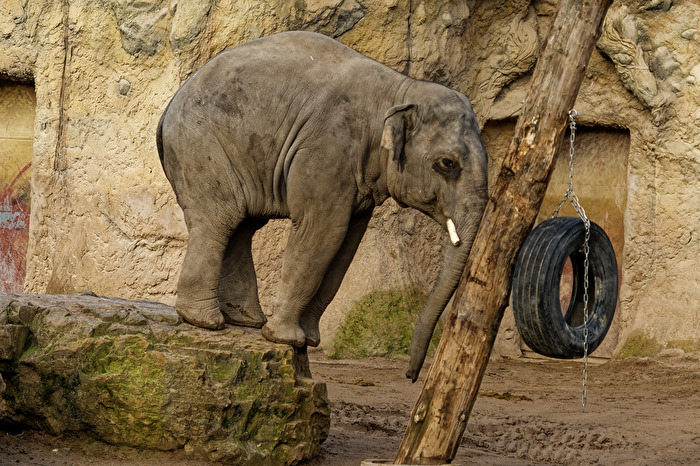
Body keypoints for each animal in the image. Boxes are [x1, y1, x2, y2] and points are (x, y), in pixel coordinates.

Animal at [157, 31, 488, 381]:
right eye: (447, 164)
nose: (411, 376)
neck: (400, 88)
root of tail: (167, 109)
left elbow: (346, 245)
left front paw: (309, 340)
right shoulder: (327, 149)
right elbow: (322, 231)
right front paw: (286, 338)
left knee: (243, 225)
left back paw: (246, 321)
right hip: (200, 146)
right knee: (221, 219)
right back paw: (205, 321)